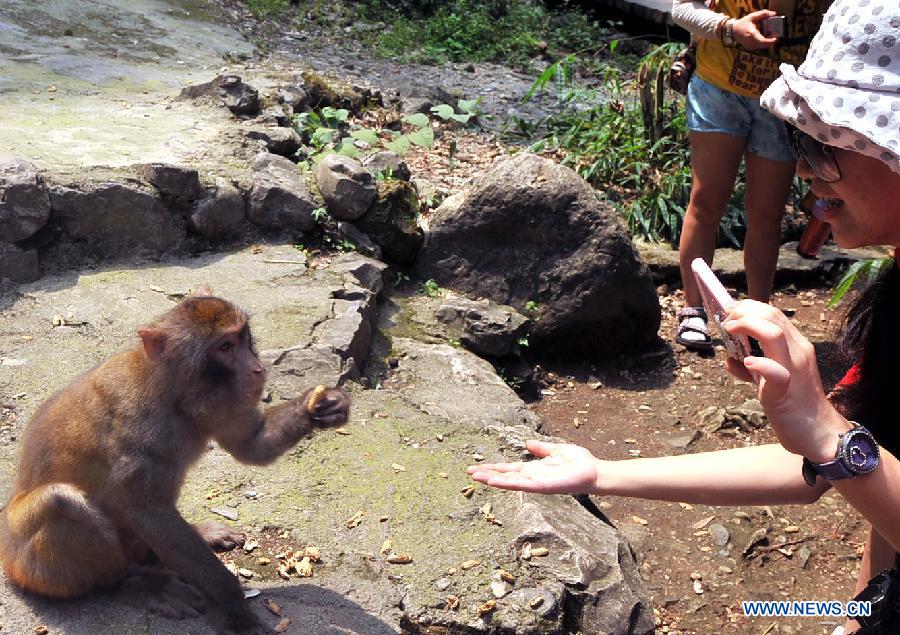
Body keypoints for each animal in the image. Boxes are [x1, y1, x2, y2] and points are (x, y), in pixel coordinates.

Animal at [0, 290, 350, 632]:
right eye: (225, 347)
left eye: (242, 338)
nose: (256, 368)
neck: (172, 394)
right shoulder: (140, 431)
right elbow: (149, 511)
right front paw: (236, 607)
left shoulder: (224, 401)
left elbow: (251, 444)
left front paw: (324, 405)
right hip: (33, 569)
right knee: (59, 502)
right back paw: (134, 583)